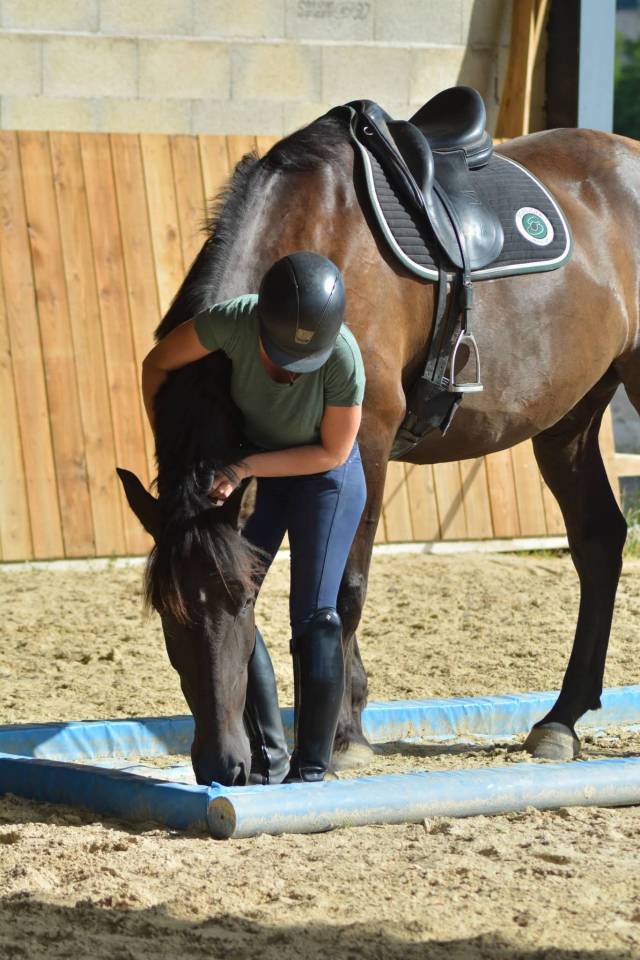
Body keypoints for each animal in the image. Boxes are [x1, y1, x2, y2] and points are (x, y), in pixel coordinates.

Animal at [120, 105, 640, 785]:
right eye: (166, 611)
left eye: (238, 602)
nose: (220, 764)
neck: (315, 237)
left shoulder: (362, 444)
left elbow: (343, 588)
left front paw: (342, 737)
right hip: (570, 419)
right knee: (599, 540)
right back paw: (561, 721)